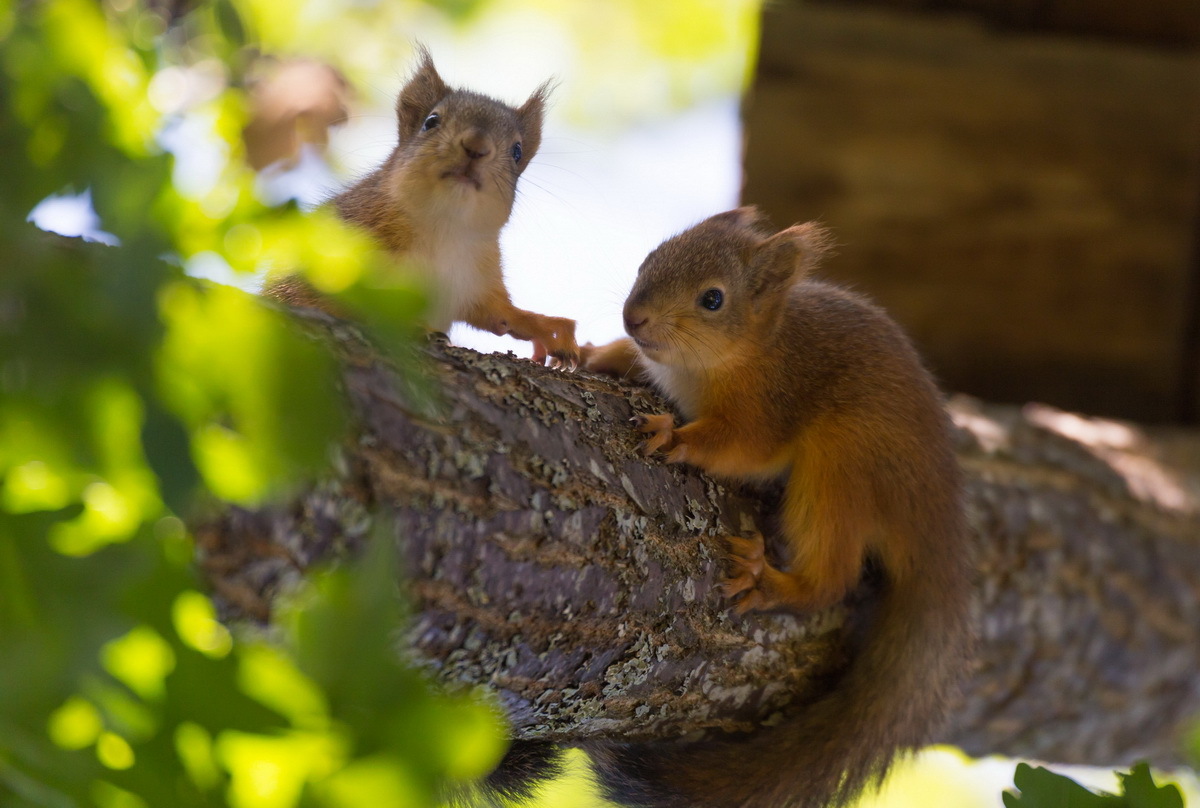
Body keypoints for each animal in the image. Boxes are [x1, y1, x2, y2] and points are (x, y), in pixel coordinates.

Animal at [270, 45, 578, 367]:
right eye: (430, 122)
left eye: (517, 151)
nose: (476, 146)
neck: (443, 225)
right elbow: (330, 301)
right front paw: (413, 326)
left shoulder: (476, 279)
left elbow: (499, 317)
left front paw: (546, 327)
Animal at [576, 207, 969, 806]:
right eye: (649, 259)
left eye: (713, 299)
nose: (633, 318)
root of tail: (935, 518)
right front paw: (593, 352)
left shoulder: (768, 407)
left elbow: (741, 445)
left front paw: (673, 436)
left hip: (842, 463)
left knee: (833, 577)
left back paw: (772, 581)